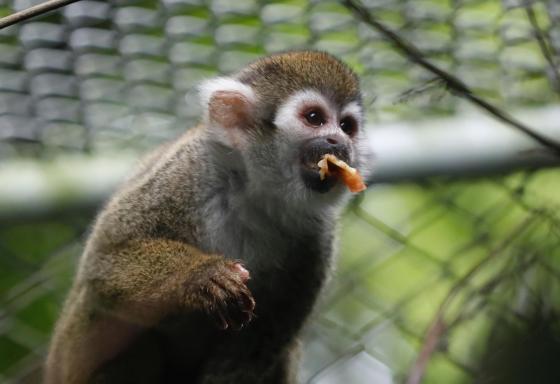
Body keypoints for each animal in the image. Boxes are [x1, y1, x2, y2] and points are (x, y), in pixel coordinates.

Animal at [46, 51, 370, 384]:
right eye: (314, 118)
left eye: (346, 126)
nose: (338, 141)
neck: (256, 195)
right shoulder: (189, 169)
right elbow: (104, 259)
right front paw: (201, 276)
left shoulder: (318, 239)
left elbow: (258, 345)